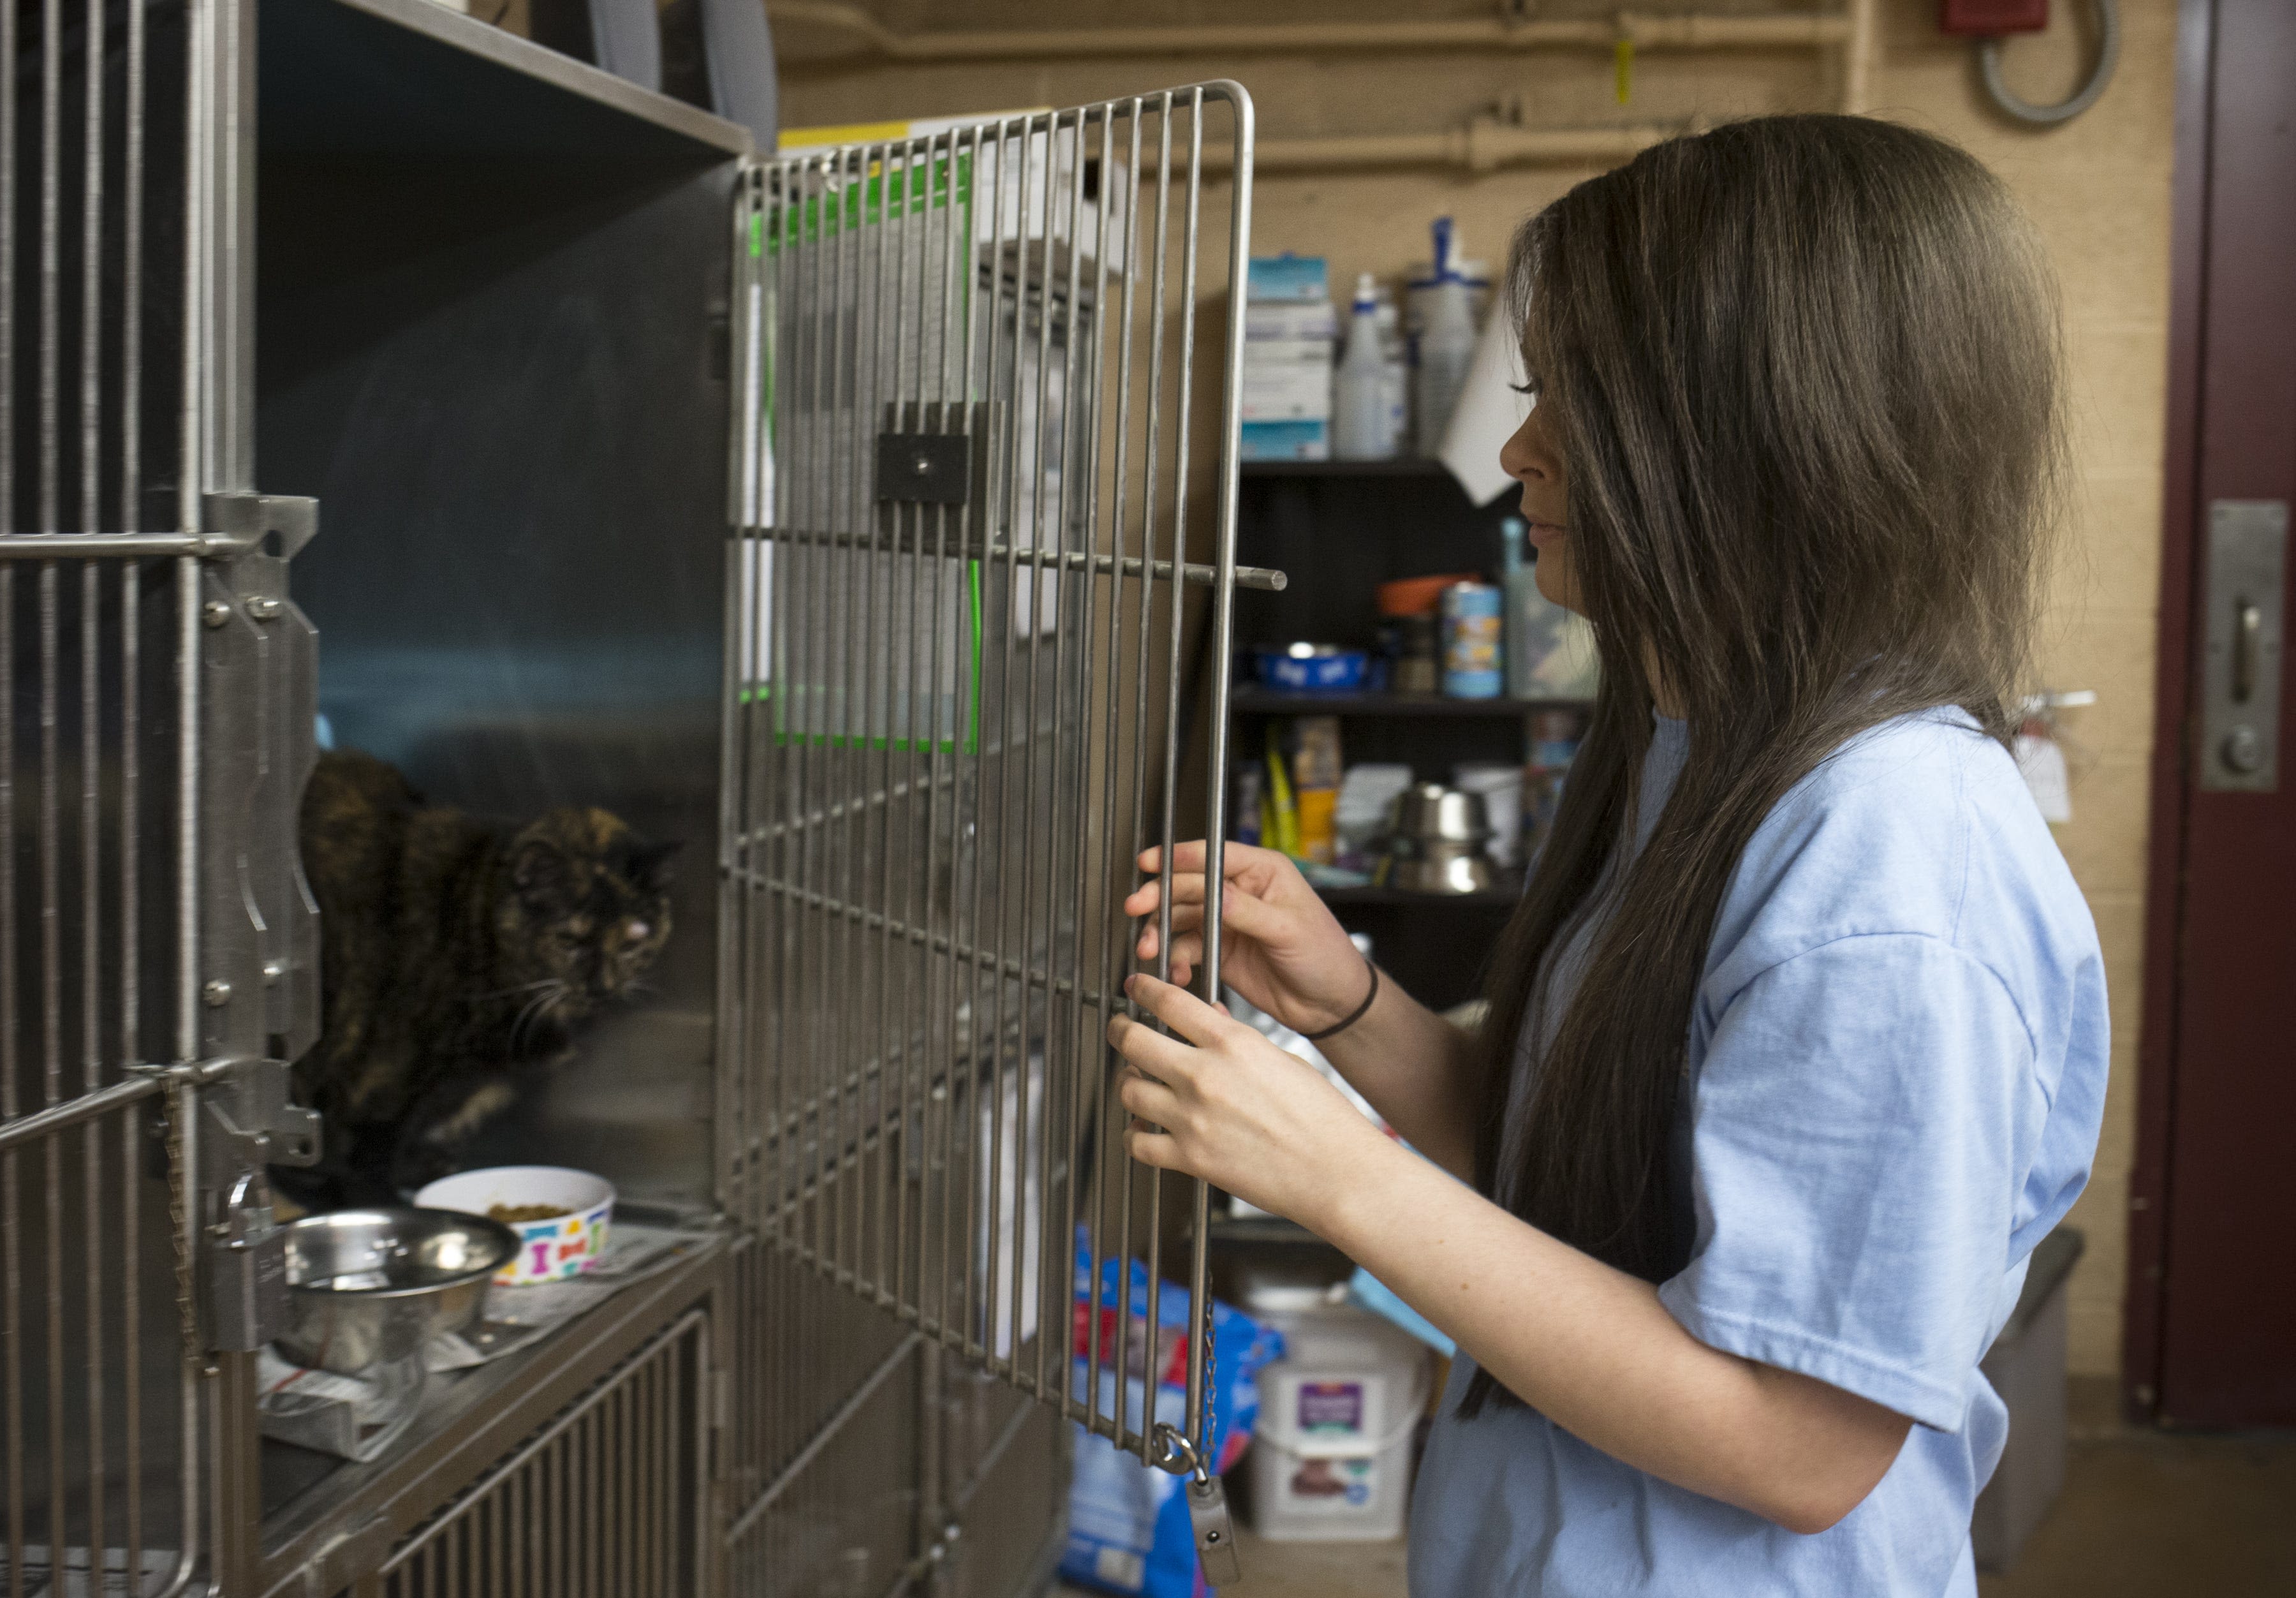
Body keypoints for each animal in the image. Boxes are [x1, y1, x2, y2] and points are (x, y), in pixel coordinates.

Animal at [274, 748, 675, 1212]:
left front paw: (426, 1171)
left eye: (632, 942)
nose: (603, 986)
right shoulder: (380, 1083)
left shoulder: (471, 1085)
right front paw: (385, 1206)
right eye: (570, 940)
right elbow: (366, 1157)